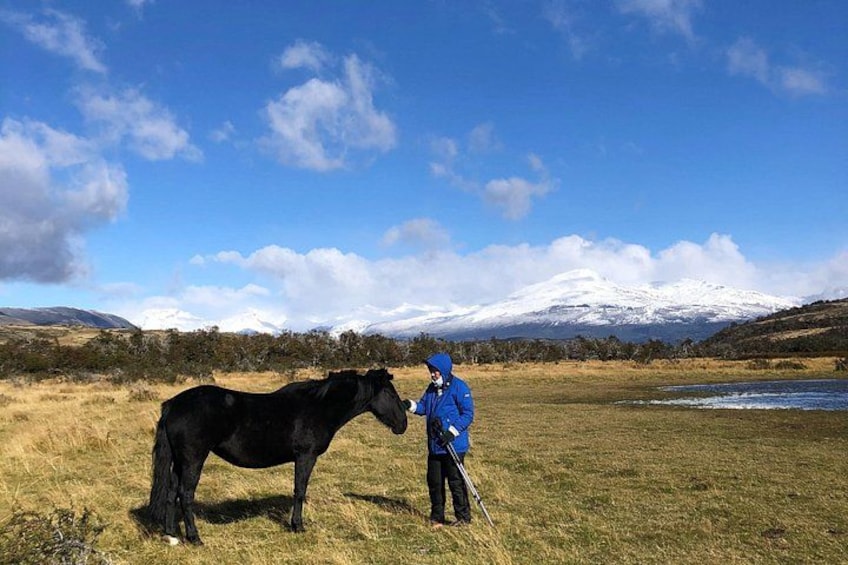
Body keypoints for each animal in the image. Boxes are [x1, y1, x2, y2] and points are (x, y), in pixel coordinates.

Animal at [147, 368, 407, 545]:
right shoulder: (305, 457)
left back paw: (171, 536)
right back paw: (194, 537)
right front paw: (297, 526)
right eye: (390, 394)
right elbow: (299, 491)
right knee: (185, 494)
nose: (403, 425)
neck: (319, 406)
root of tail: (173, 404)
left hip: (179, 461)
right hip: (193, 460)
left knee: (171, 493)